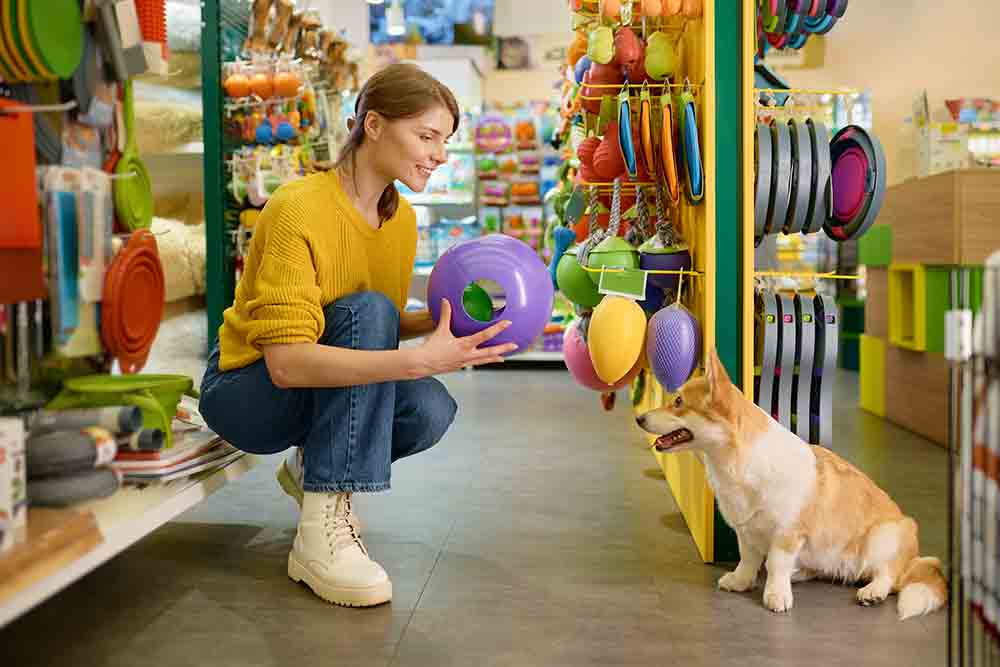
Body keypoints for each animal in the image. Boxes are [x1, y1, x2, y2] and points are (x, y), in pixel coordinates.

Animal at [636, 350, 948, 620]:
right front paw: (740, 581)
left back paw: (872, 592)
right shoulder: (746, 531)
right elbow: (748, 559)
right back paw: (801, 573)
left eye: (678, 402)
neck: (736, 461)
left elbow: (776, 563)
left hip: (884, 537)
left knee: (889, 576)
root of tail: (916, 560)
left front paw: (776, 595)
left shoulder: (787, 534)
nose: (639, 418)